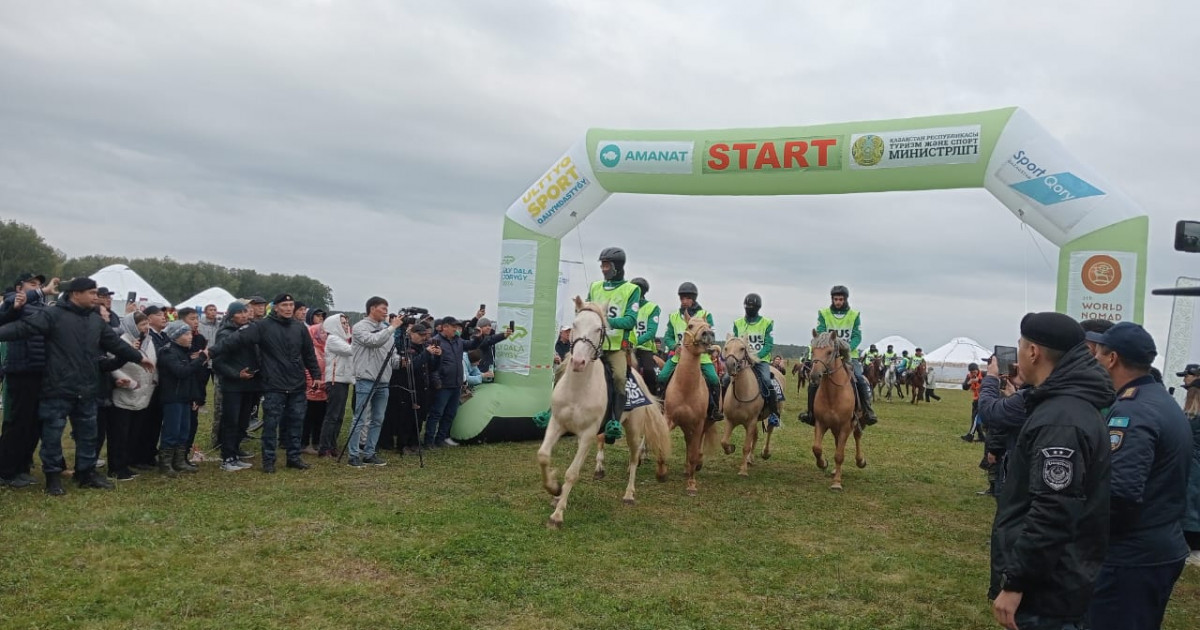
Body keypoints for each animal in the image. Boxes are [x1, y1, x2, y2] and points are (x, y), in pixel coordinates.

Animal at [537, 297, 672, 528]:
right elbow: (543, 456)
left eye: (599, 329)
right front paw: (554, 488)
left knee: (634, 457)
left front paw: (557, 514)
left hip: (633, 430)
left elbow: (572, 473)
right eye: (575, 324)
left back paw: (629, 494)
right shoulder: (556, 424)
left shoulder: (587, 434)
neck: (578, 390)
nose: (578, 362)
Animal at [662, 314, 715, 496]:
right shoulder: (669, 419)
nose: (708, 334)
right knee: (688, 441)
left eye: (709, 326)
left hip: (704, 424)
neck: (686, 388)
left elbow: (693, 453)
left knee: (695, 446)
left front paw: (692, 484)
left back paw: (695, 465)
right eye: (690, 325)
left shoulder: (698, 424)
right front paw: (661, 472)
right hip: (685, 425)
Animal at [715, 336, 782, 475]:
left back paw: (765, 453)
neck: (741, 394)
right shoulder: (730, 420)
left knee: (769, 431)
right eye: (726, 348)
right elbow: (723, 441)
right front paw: (731, 448)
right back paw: (750, 459)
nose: (730, 365)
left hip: (773, 413)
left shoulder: (750, 421)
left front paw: (743, 470)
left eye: (742, 348)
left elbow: (746, 446)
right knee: (755, 436)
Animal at [806, 328, 864, 492]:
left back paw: (860, 461)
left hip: (855, 422)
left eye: (829, 351)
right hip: (835, 427)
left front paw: (837, 483)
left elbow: (839, 455)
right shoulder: (821, 423)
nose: (814, 375)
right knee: (838, 442)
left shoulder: (846, 425)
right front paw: (823, 463)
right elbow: (817, 448)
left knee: (857, 436)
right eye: (813, 350)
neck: (833, 394)